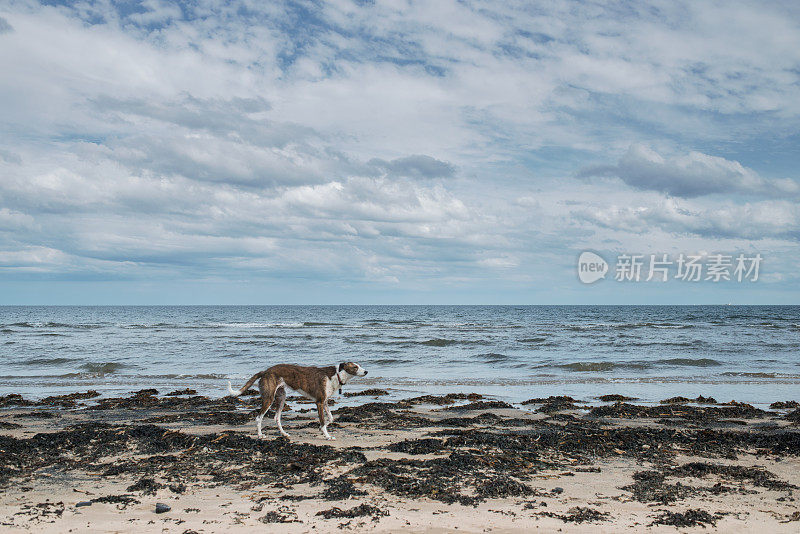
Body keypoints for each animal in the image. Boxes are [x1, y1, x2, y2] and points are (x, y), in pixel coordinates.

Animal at [227, 364, 368, 444]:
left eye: (359, 365)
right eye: (355, 367)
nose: (366, 372)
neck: (336, 375)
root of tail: (265, 371)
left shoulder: (325, 402)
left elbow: (331, 418)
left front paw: (321, 429)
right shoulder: (319, 402)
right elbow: (323, 422)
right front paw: (327, 436)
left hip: (281, 397)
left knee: (276, 417)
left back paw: (284, 434)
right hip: (269, 398)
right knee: (258, 417)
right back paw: (260, 435)